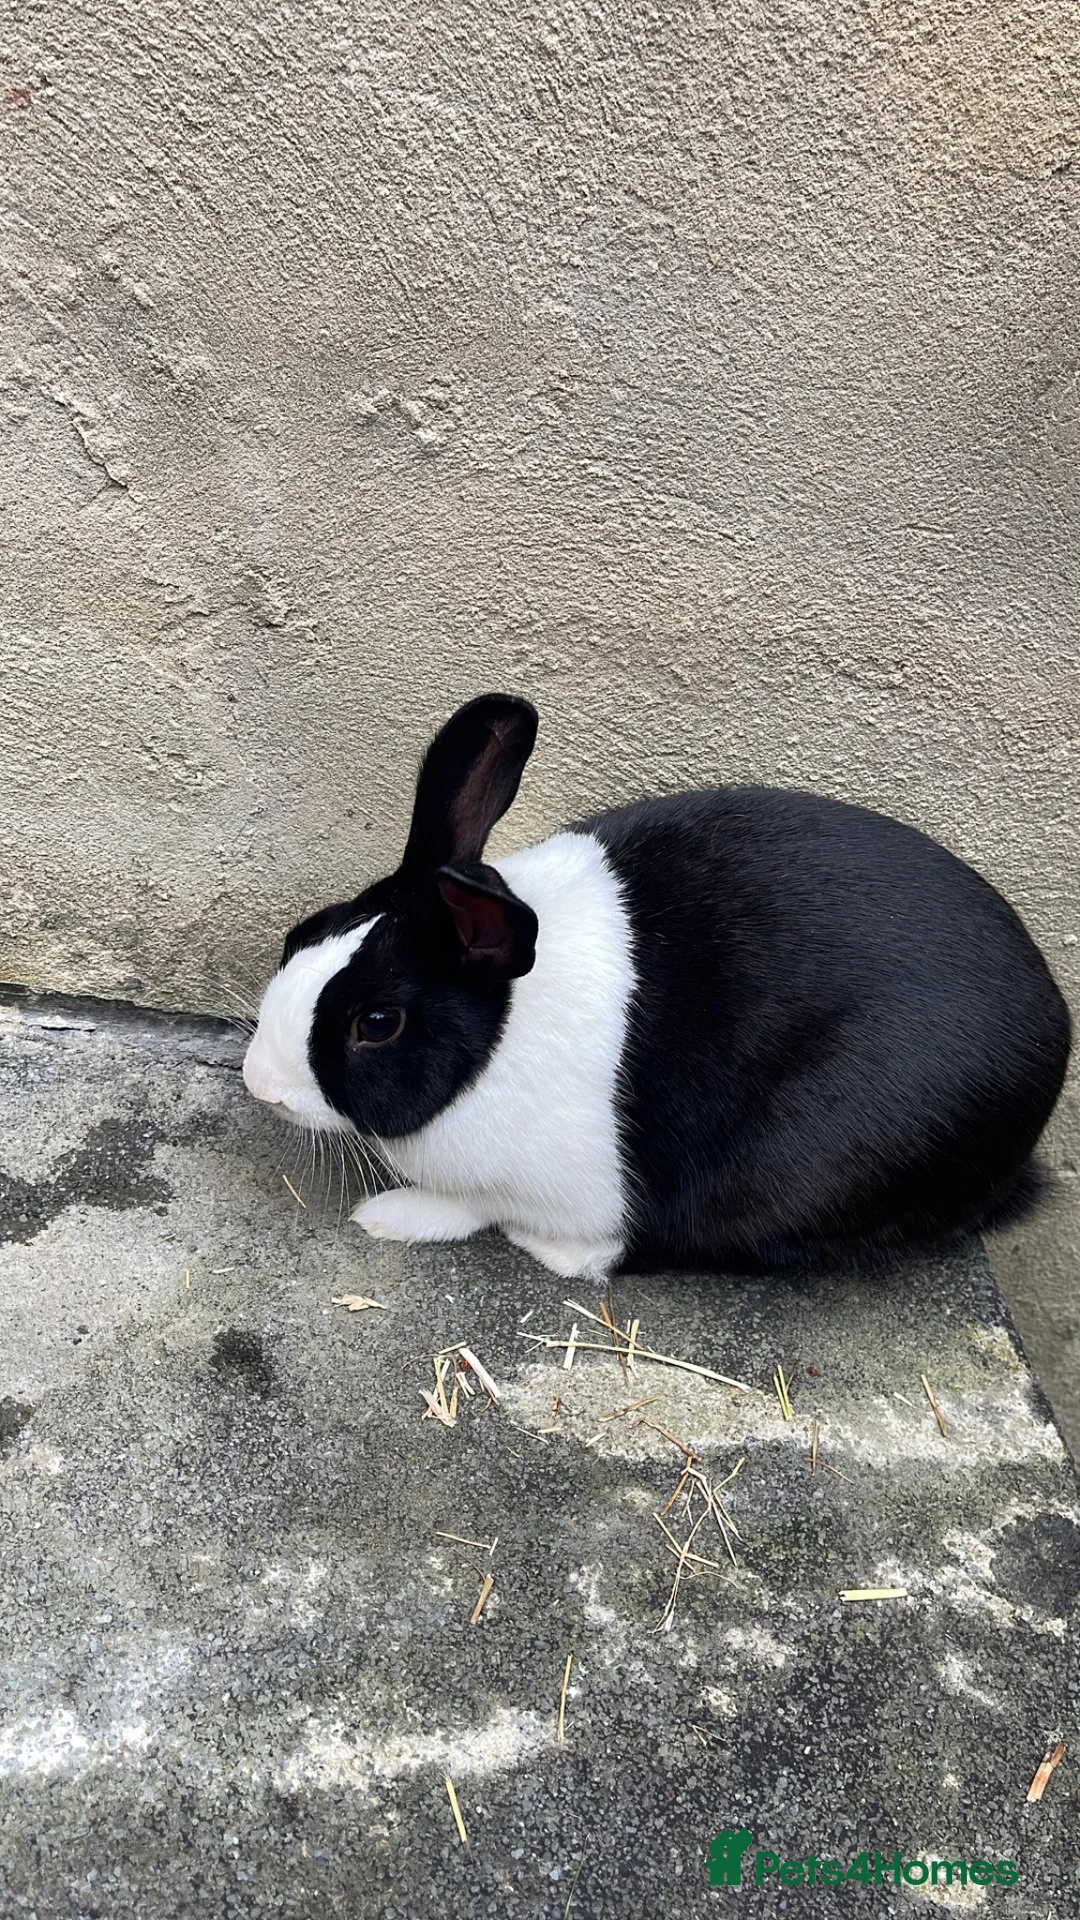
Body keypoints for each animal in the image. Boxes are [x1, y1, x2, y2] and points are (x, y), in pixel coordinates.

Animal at [242, 693, 1071, 1280]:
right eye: (304, 932)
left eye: (378, 1023)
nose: (260, 1085)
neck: (498, 1035)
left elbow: (469, 1204)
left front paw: (387, 1217)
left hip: (802, 1174)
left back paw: (559, 1255)